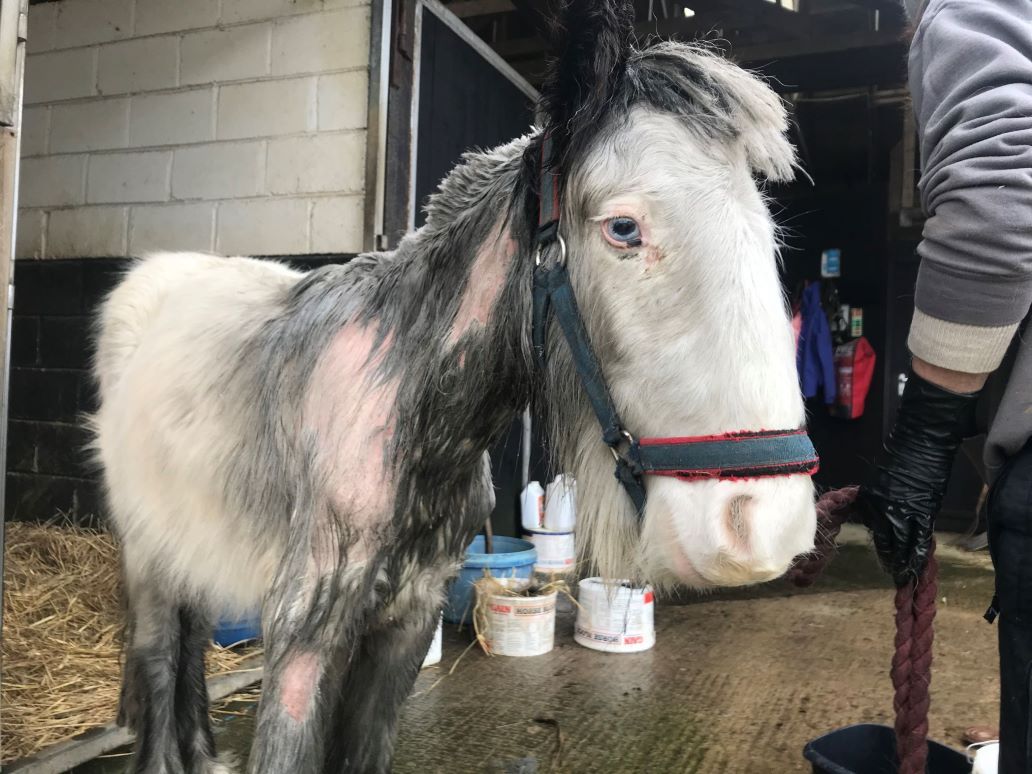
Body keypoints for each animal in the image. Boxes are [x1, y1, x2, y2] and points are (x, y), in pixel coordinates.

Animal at [91, 2, 816, 771]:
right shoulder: (301, 640)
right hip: (146, 555)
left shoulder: (406, 630)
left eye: (767, 233)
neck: (413, 415)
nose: (764, 527)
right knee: (162, 653)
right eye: (624, 228)